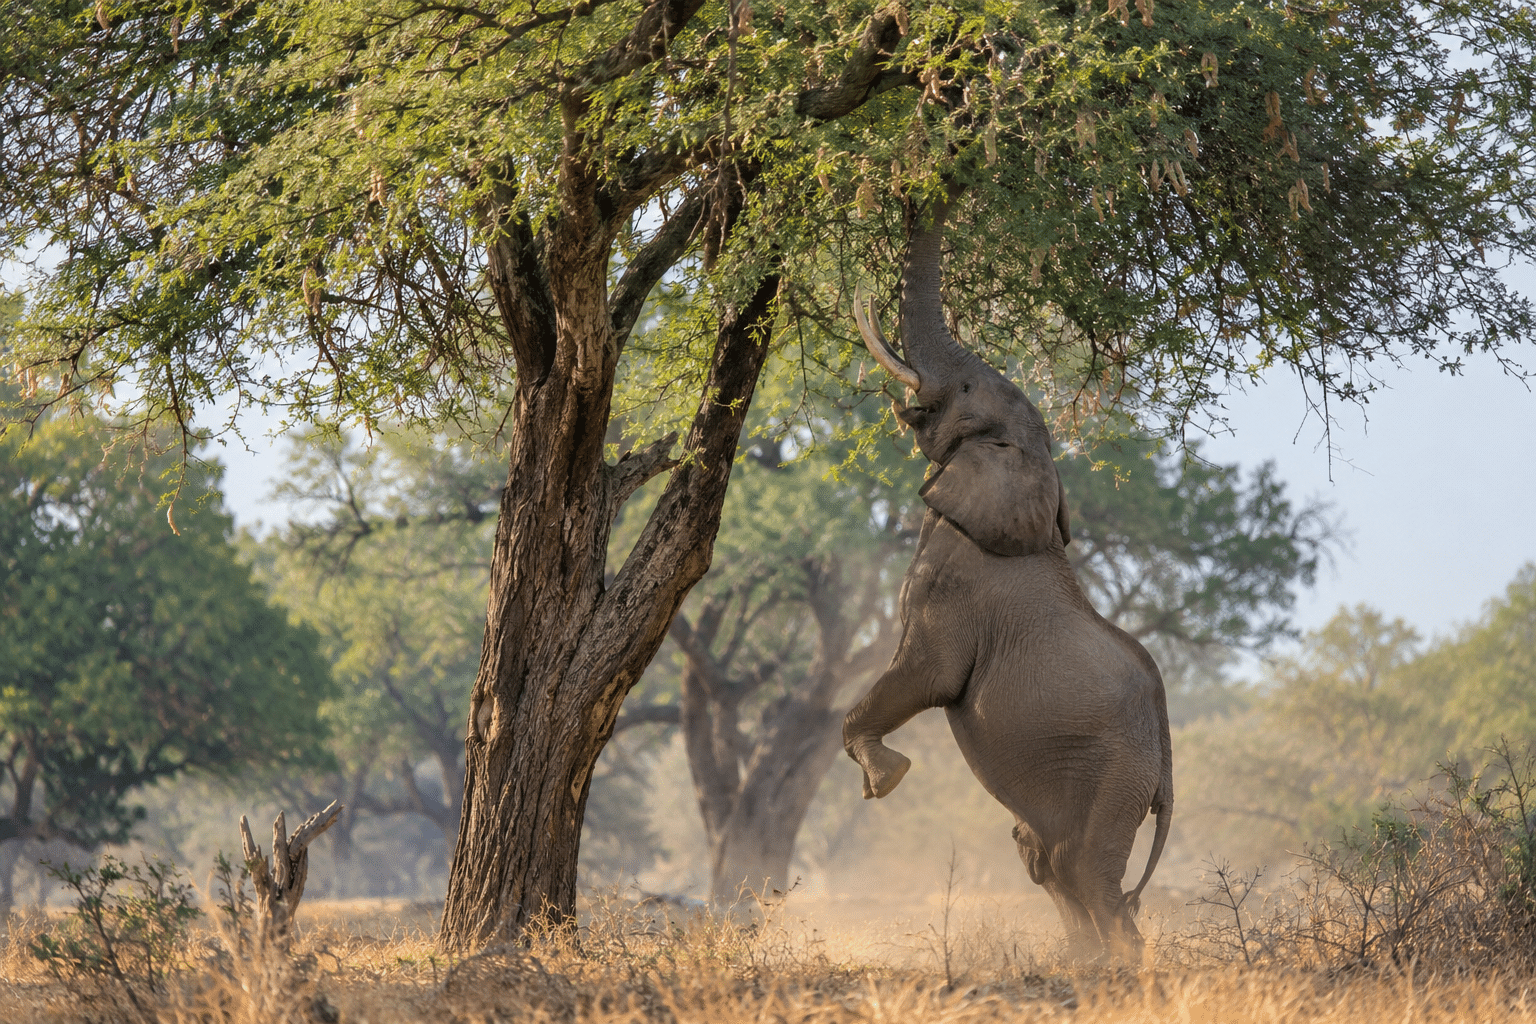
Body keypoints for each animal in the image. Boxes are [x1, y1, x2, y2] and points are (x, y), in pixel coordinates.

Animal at [841, 191, 1173, 960]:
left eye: (965, 386)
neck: (1032, 460)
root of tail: (1167, 765)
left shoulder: (952, 585)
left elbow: (924, 675)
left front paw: (885, 779)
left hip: (1116, 774)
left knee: (1088, 871)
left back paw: (1118, 968)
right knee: (1049, 860)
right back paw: (1083, 963)